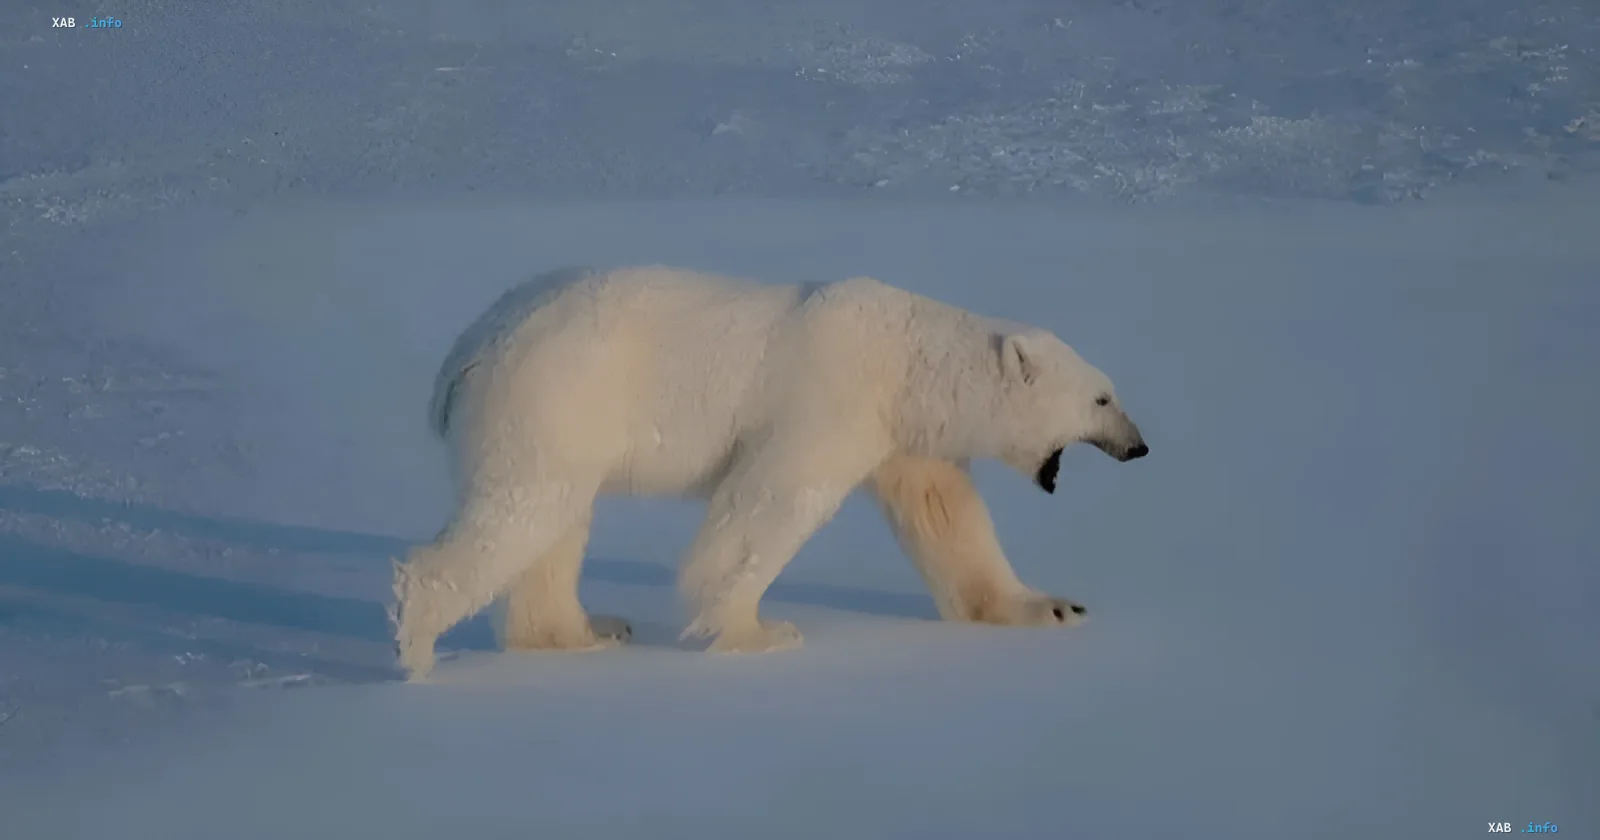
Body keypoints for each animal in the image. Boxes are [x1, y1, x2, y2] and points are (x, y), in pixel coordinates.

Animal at [391, 265, 1149, 680]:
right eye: (1102, 399)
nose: (1140, 446)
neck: (906, 359)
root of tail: (467, 348)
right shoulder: (831, 395)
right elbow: (772, 500)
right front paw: (759, 632)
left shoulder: (903, 434)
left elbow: (946, 517)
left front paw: (1053, 607)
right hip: (554, 393)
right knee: (521, 509)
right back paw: (420, 646)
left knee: (554, 525)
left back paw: (584, 632)